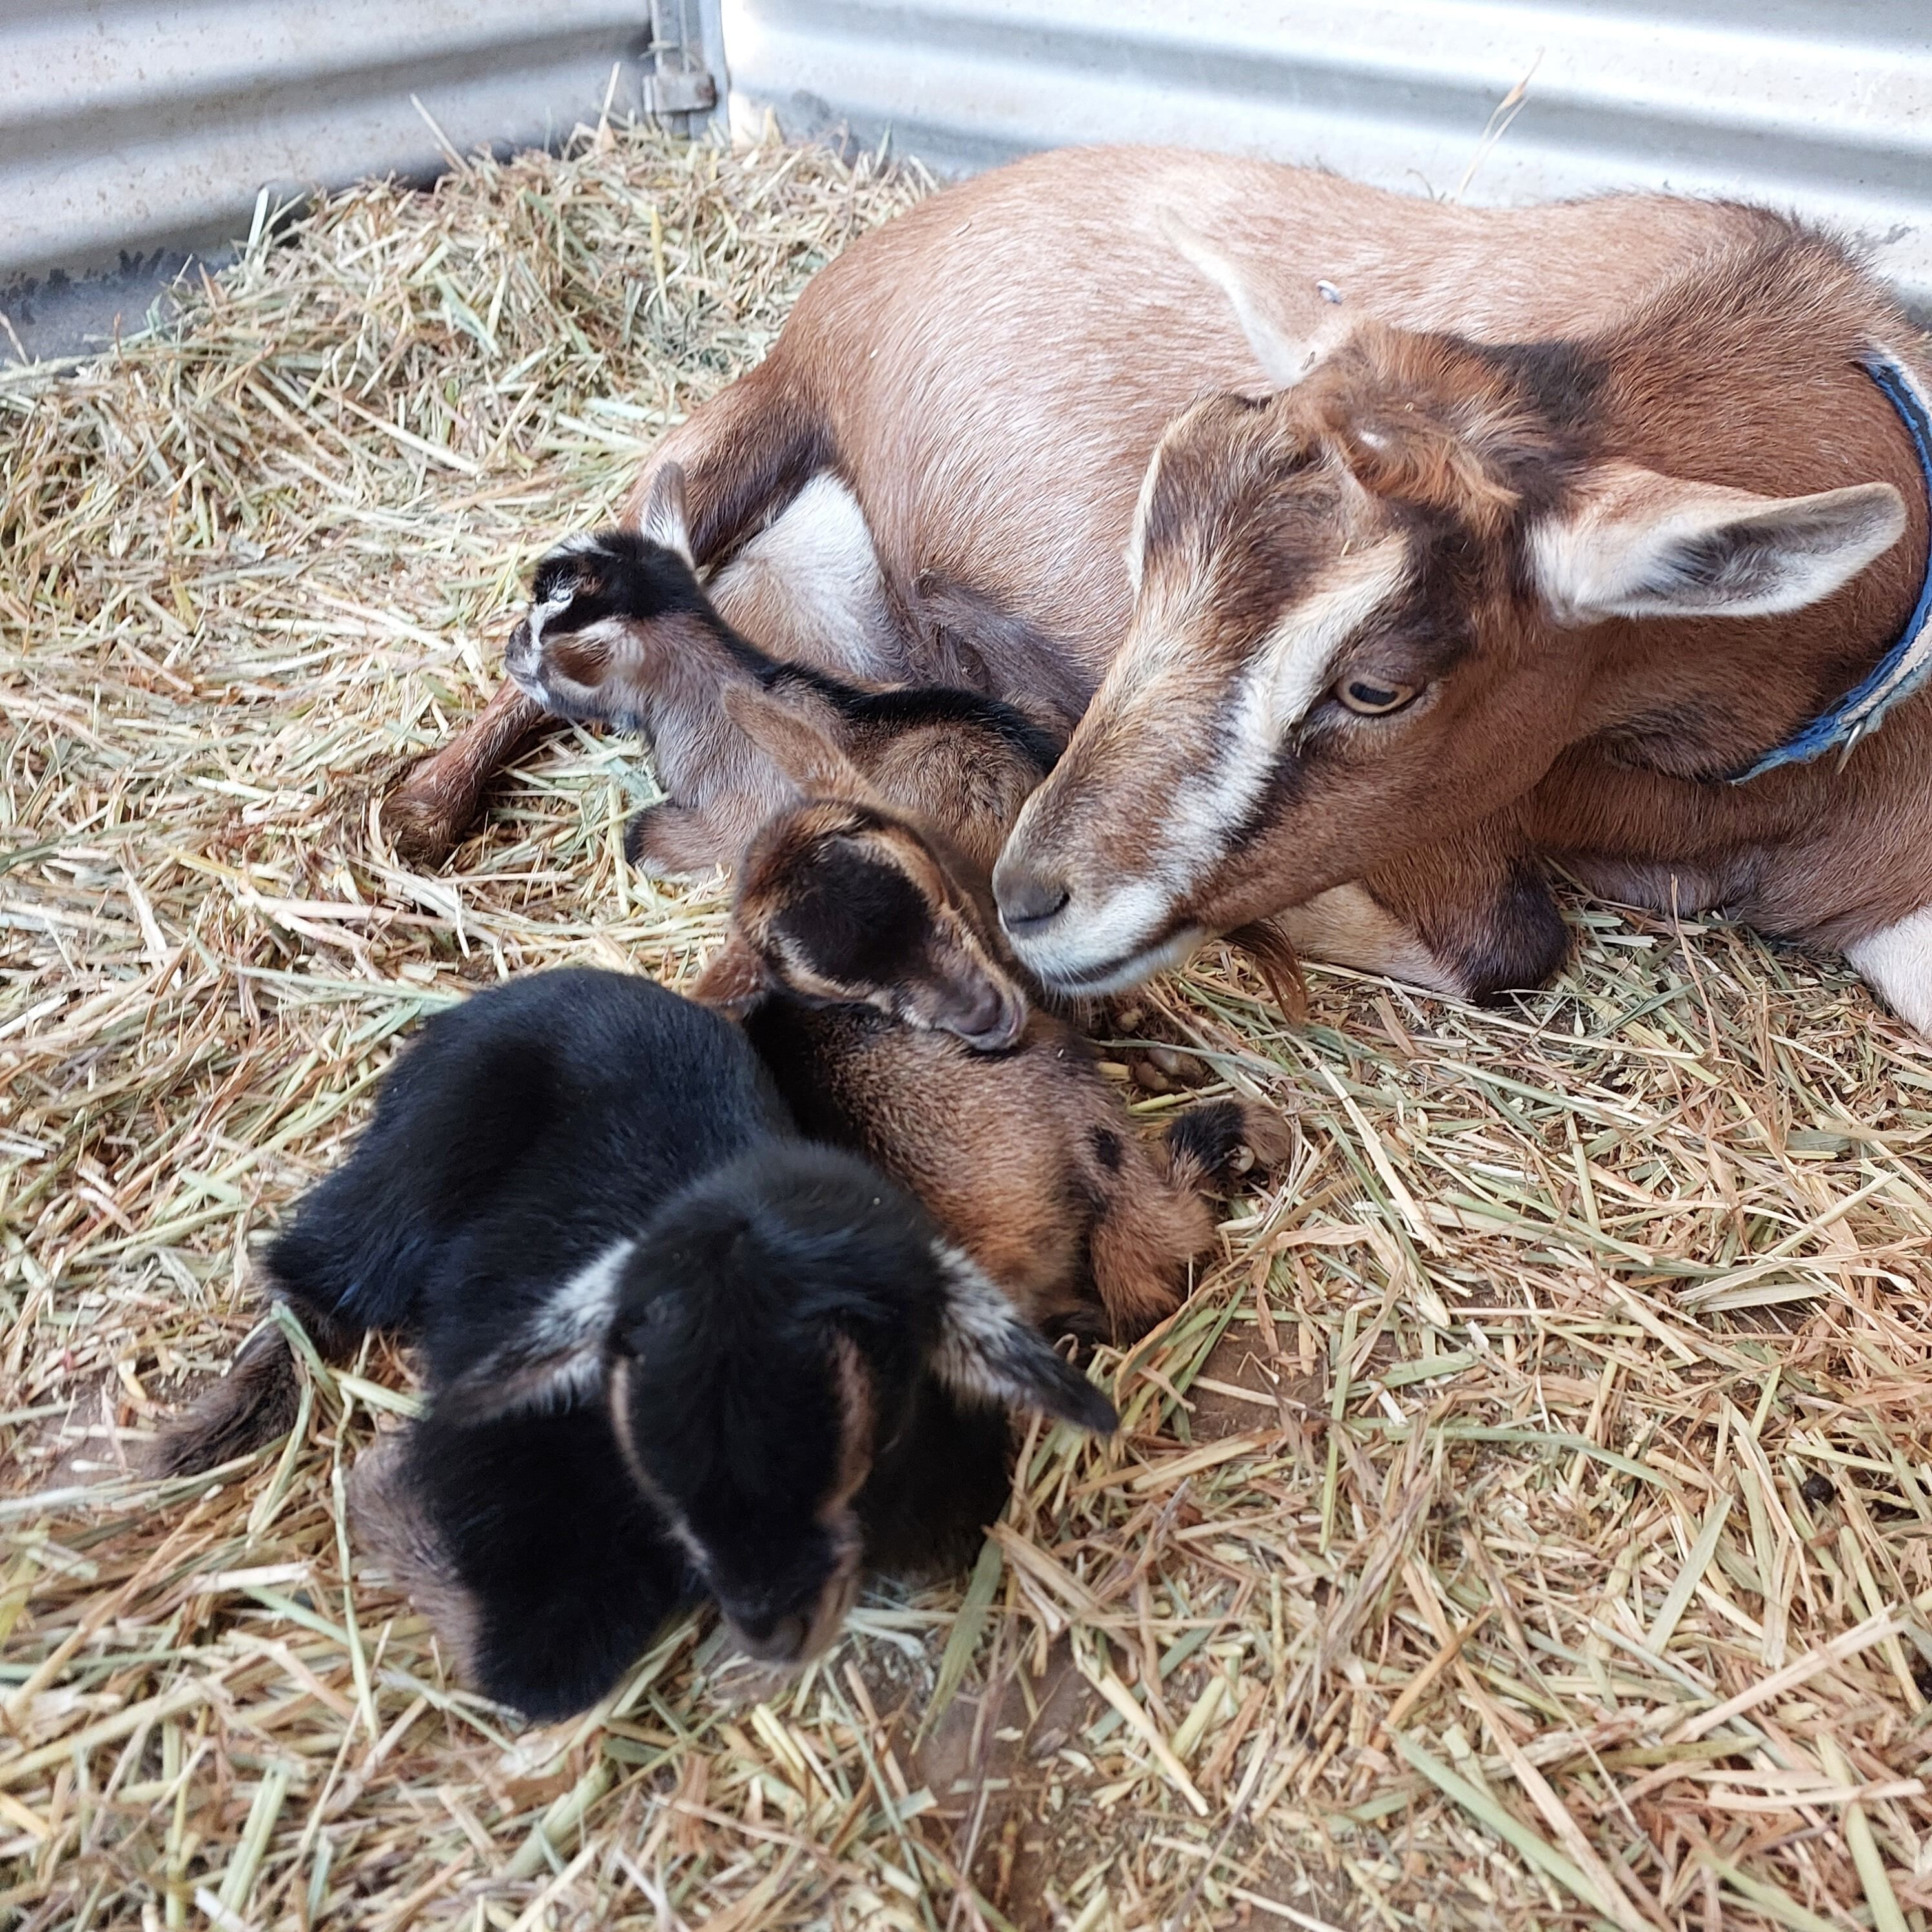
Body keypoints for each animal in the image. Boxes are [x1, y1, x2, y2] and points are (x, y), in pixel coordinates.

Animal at [156, 969, 1113, 1717]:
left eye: (866, 1443)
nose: (771, 1625)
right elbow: (534, 1660)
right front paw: (379, 1488)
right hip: (421, 1157)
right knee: (318, 1273)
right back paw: (208, 1430)